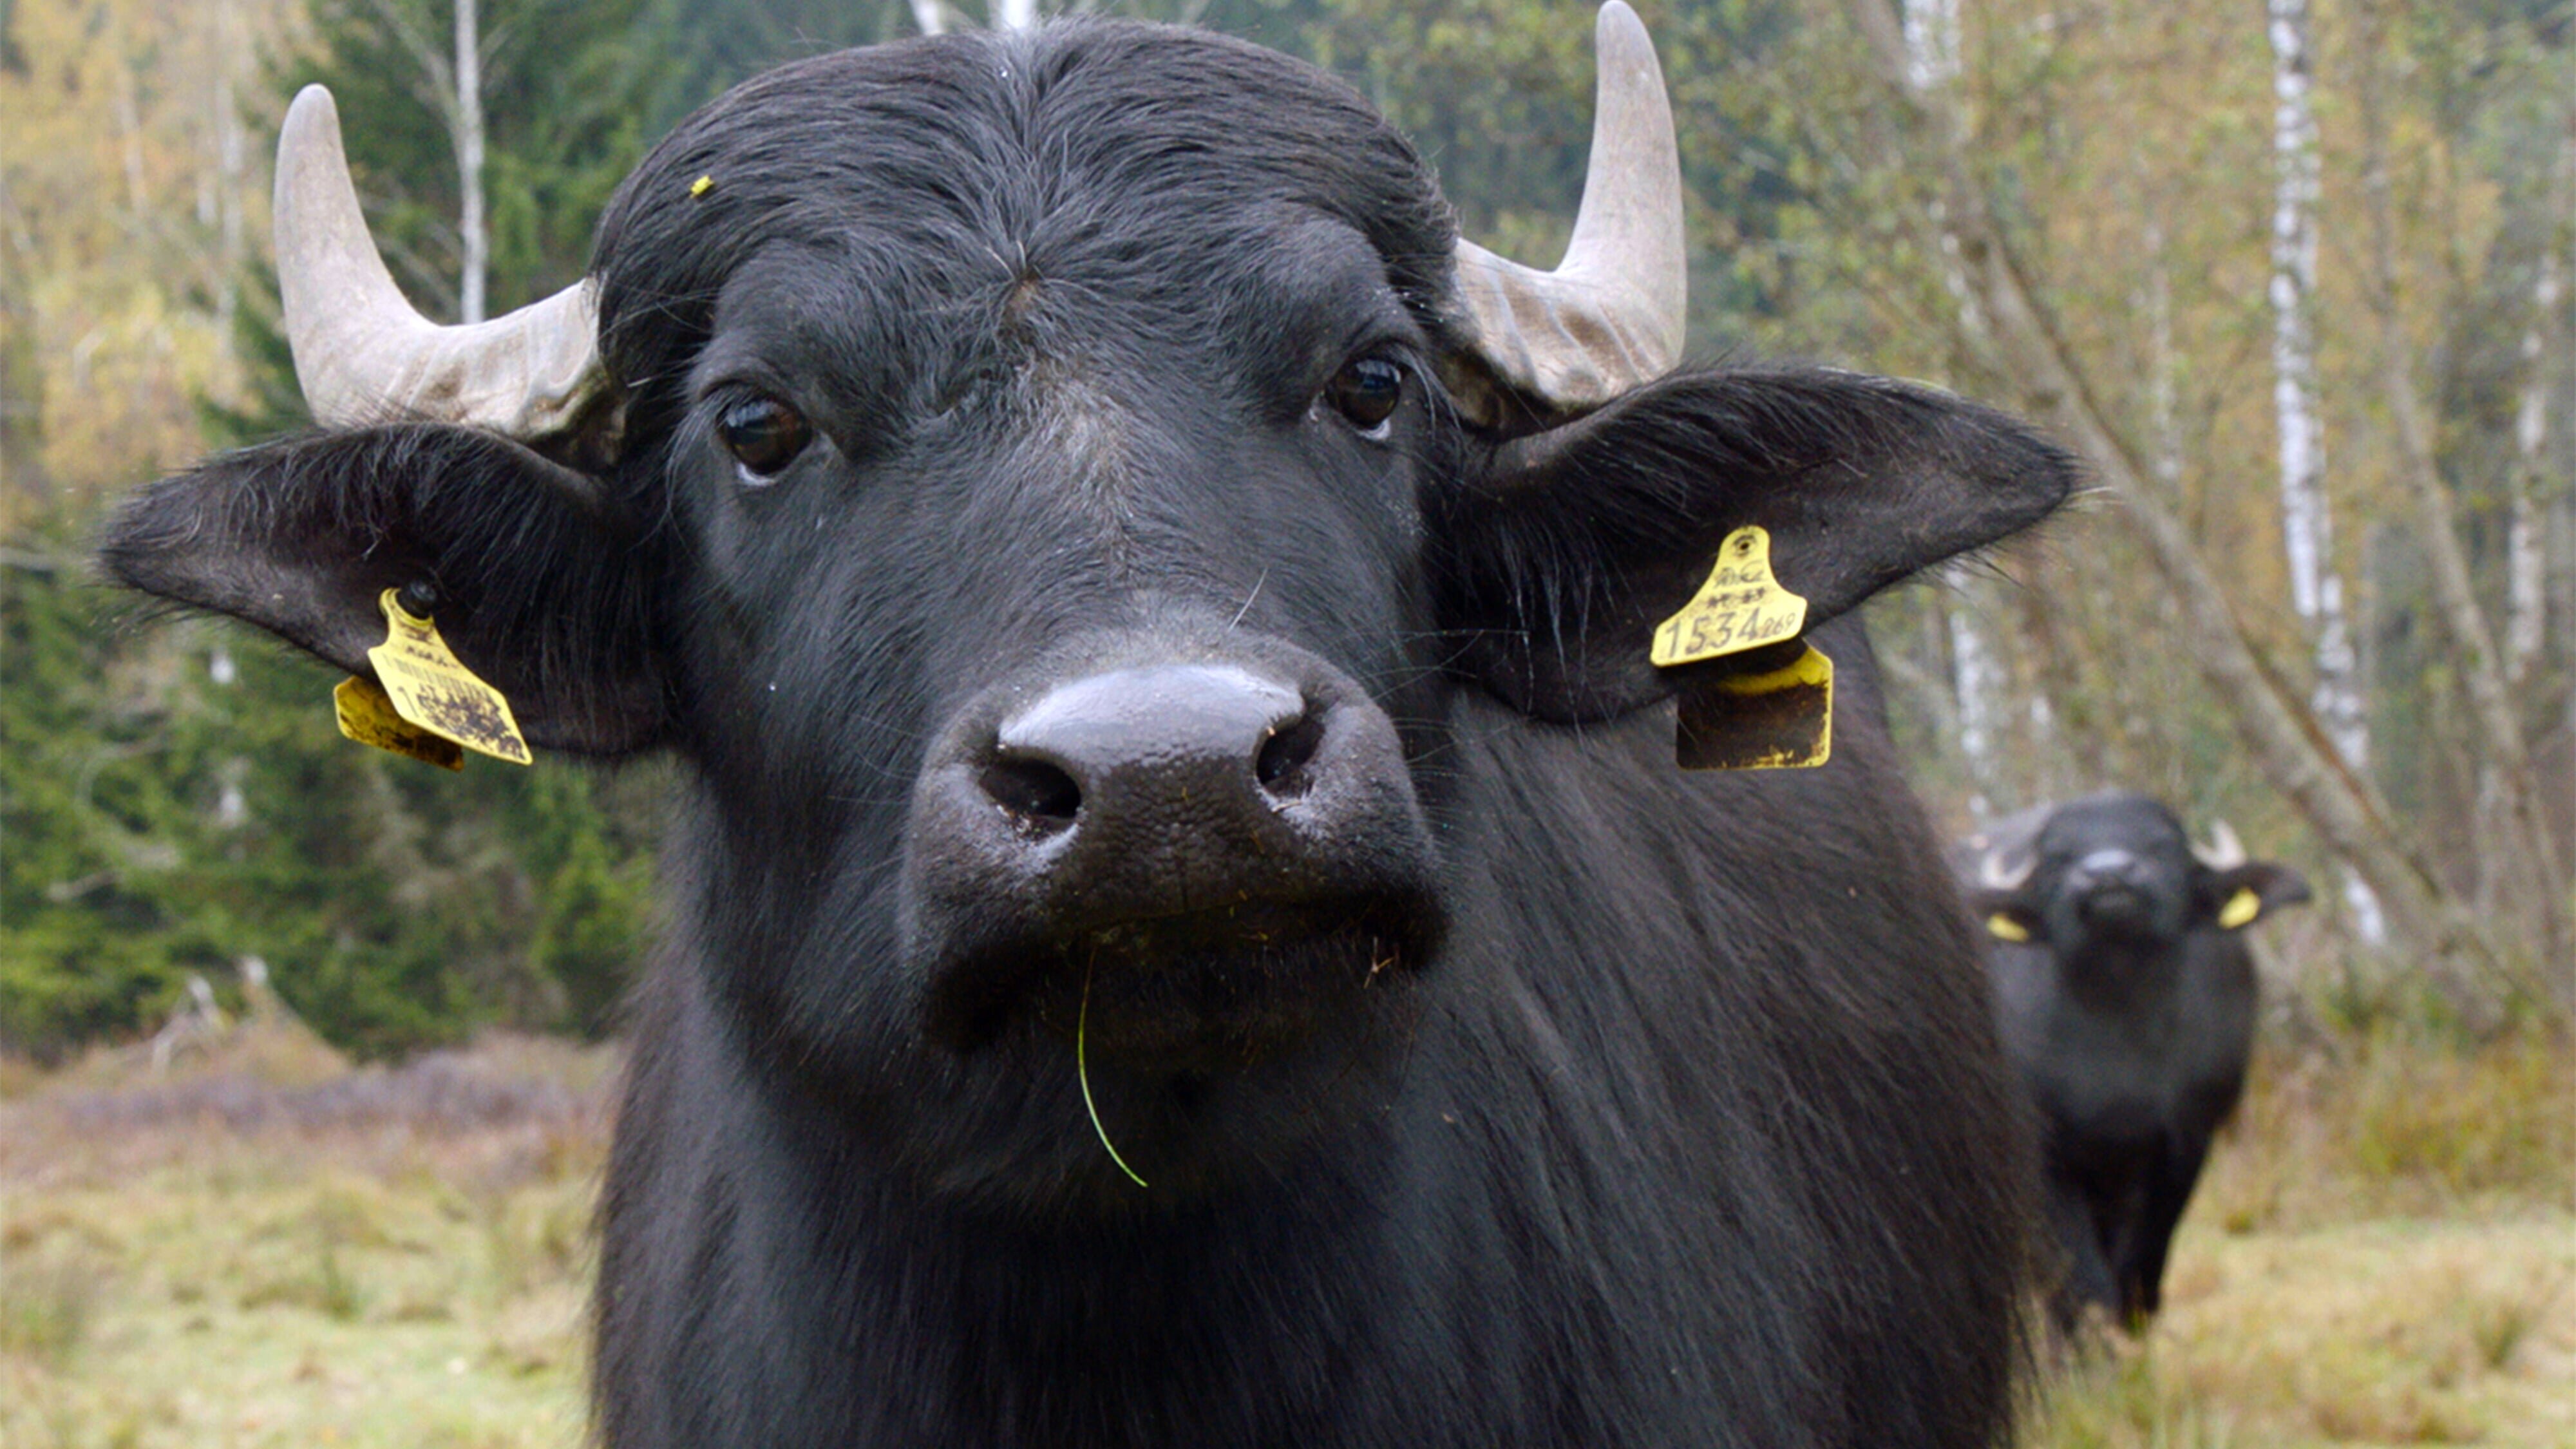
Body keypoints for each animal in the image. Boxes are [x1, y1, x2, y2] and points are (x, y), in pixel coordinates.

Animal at [1947, 789, 2318, 1330]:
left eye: (2161, 844)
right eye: (2058, 857)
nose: (2108, 875)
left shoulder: (2184, 1147)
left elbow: (2141, 1275)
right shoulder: (2048, 1162)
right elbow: (2081, 1285)